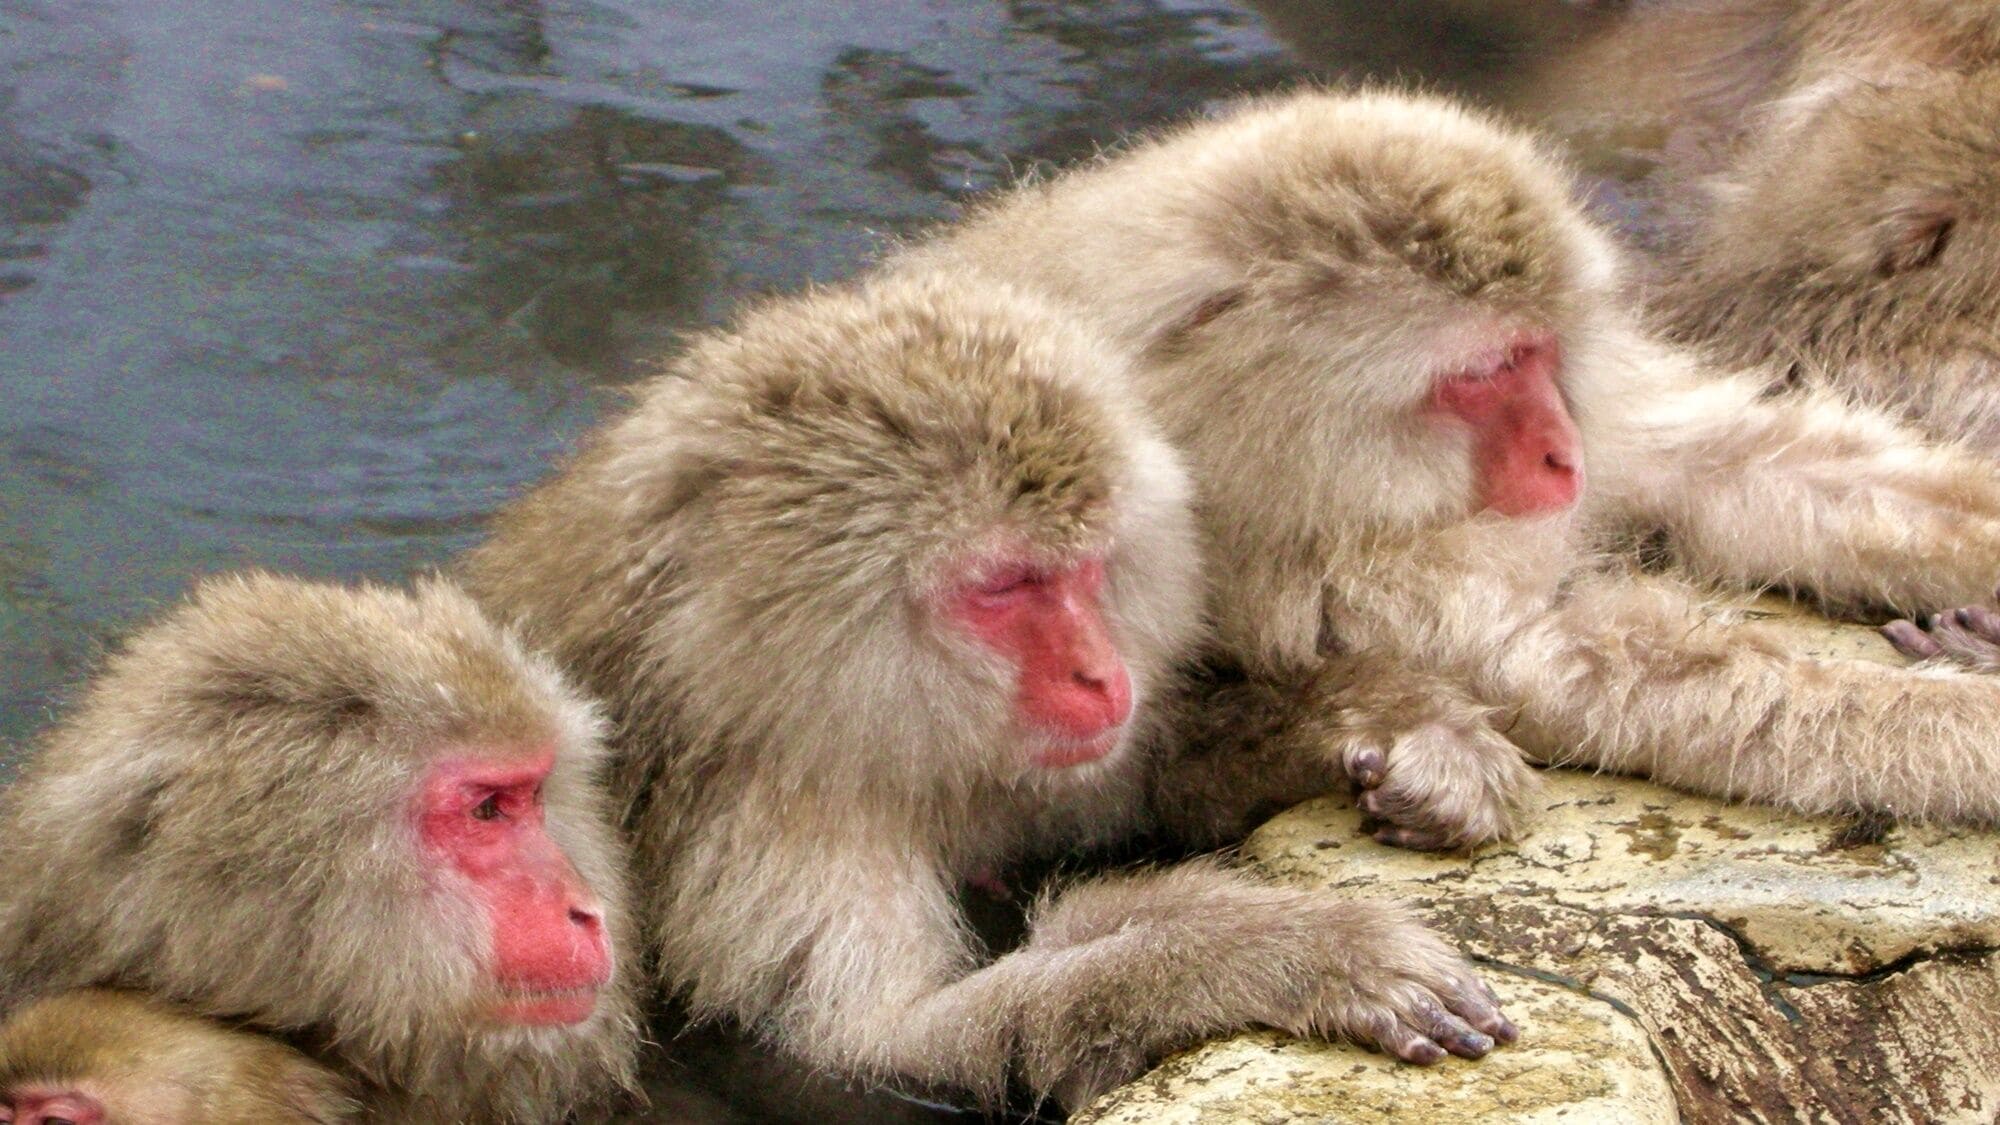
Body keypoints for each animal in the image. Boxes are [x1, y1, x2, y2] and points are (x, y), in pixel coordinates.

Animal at [460, 271, 1516, 1110]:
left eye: (1085, 568)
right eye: (1006, 587)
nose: (1101, 671)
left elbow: (1139, 784)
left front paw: (1393, 718)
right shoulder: (777, 818)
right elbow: (880, 1048)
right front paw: (1287, 952)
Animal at [890, 86, 2000, 851]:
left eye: (1539, 351)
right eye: (1479, 374)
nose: (1561, 450)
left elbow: (1747, 466)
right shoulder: (1313, 575)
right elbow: (1596, 664)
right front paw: (1976, 732)